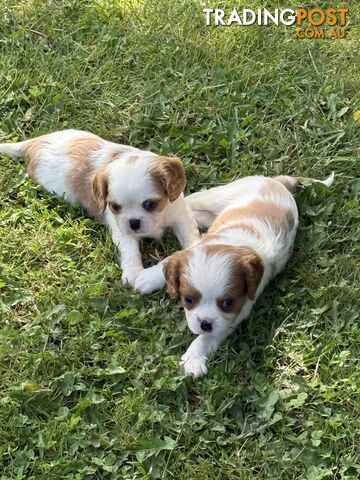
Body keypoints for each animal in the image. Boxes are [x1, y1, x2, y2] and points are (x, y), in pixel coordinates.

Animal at [0, 129, 200, 288]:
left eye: (150, 204)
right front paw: (133, 272)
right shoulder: (120, 227)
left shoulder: (181, 216)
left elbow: (191, 238)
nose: (134, 223)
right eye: (115, 207)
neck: (160, 218)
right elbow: (129, 248)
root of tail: (33, 144)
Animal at [139, 172, 334, 378]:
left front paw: (194, 357)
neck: (237, 244)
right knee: (191, 200)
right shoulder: (202, 243)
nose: (205, 324)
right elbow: (170, 259)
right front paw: (147, 277)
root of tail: (276, 182)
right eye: (189, 299)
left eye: (228, 302)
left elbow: (210, 336)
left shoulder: (237, 312)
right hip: (219, 195)